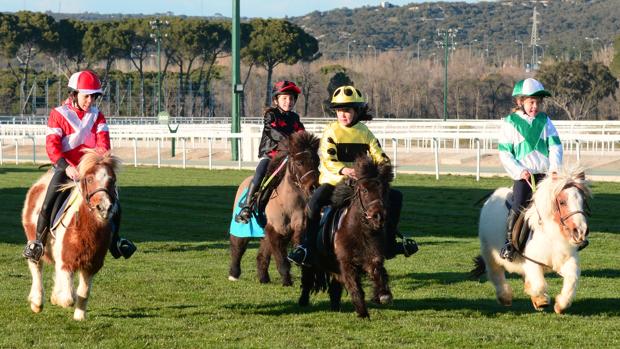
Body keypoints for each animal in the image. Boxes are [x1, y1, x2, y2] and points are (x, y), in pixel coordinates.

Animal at [21, 150, 120, 320]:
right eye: (89, 178)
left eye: (112, 180)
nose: (104, 208)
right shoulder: (66, 262)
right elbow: (68, 298)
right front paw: (57, 298)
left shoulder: (91, 265)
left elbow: (83, 293)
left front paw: (79, 317)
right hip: (34, 240)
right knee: (36, 267)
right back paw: (37, 302)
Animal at [230, 130, 322, 286]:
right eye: (299, 162)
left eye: (317, 162)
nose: (313, 187)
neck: (287, 204)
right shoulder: (275, 230)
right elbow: (282, 260)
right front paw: (287, 282)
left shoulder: (296, 227)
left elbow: (299, 242)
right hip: (241, 228)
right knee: (238, 247)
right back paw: (233, 274)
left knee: (261, 256)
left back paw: (263, 278)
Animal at [300, 156, 392, 316]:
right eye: (364, 190)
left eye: (385, 190)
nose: (378, 216)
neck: (359, 232)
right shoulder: (347, 263)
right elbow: (355, 288)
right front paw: (363, 313)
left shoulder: (372, 257)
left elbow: (377, 270)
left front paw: (383, 294)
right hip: (311, 262)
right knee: (307, 279)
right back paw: (303, 302)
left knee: (334, 287)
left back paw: (335, 307)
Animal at [474, 169, 592, 312]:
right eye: (562, 202)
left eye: (583, 201)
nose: (580, 231)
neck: (549, 234)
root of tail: (494, 195)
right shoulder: (532, 261)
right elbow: (539, 284)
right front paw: (541, 300)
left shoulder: (566, 259)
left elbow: (572, 279)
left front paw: (560, 304)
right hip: (489, 253)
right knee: (495, 273)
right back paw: (505, 297)